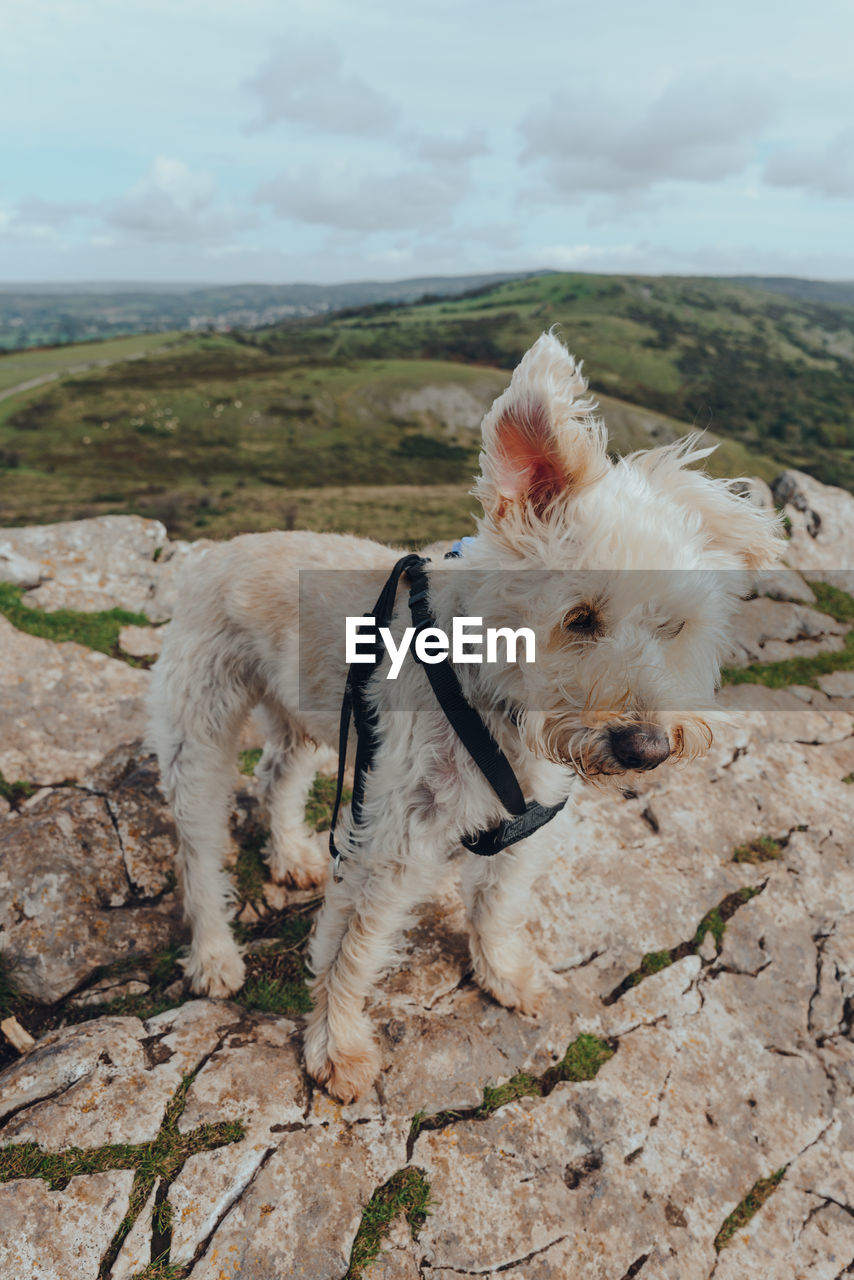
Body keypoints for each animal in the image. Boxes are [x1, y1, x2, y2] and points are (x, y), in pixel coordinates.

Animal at [148, 332, 783, 1100]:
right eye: (579, 617)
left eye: (672, 625)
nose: (646, 747)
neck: (492, 697)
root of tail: (213, 555)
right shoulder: (389, 841)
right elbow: (351, 947)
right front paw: (338, 1047)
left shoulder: (524, 825)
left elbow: (496, 904)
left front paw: (502, 973)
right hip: (200, 734)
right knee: (197, 851)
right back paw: (214, 955)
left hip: (307, 717)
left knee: (276, 775)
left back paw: (292, 856)